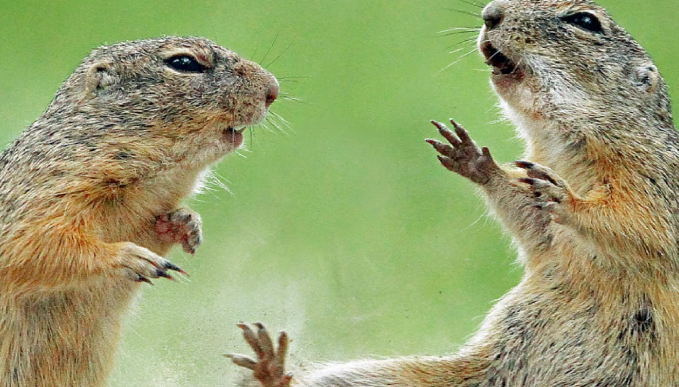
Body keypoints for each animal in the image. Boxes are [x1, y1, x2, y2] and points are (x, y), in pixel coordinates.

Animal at [0, 37, 278, 387]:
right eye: (184, 63)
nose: (273, 89)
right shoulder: (45, 194)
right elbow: (33, 246)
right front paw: (132, 258)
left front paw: (185, 222)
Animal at [230, 1, 679, 386]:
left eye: (585, 21)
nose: (490, 12)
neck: (563, 148)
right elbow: (531, 221)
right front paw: (474, 159)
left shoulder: (654, 176)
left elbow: (642, 223)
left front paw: (565, 198)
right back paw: (271, 368)